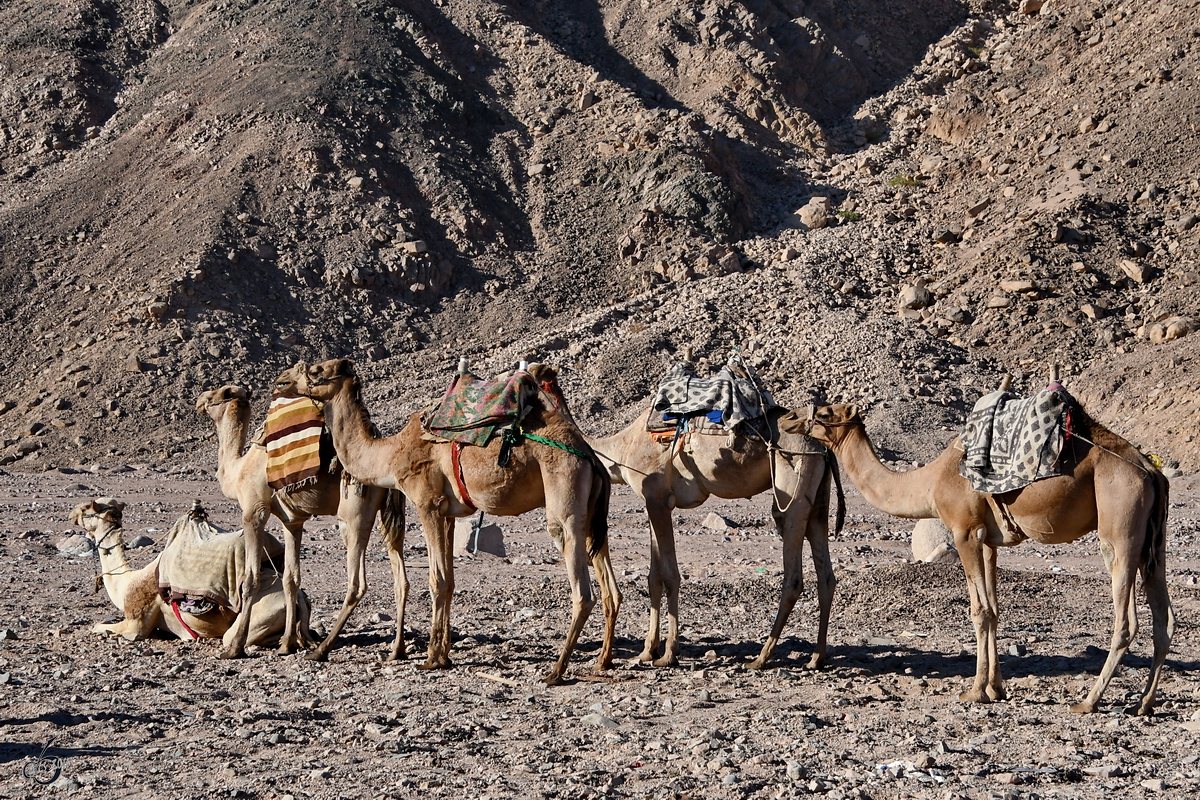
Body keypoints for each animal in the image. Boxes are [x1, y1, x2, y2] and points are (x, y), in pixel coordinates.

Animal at [70, 496, 312, 647]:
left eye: (85, 509)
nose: (71, 514)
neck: (127, 581)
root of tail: (301, 599)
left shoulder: (135, 623)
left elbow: (98, 627)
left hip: (260, 614)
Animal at [192, 383, 408, 662]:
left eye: (219, 393)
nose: (199, 400)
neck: (238, 470)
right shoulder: (292, 521)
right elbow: (291, 578)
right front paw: (287, 644)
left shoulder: (254, 511)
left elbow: (250, 579)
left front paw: (235, 648)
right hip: (388, 512)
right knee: (400, 579)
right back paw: (396, 650)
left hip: (353, 513)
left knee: (357, 583)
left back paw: (321, 649)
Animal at [278, 359, 619, 686]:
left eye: (316, 370)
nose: (281, 380)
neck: (391, 454)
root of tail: (590, 456)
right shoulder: (449, 514)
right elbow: (450, 581)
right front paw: (443, 655)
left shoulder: (426, 502)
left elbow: (436, 580)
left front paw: (430, 657)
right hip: (590, 513)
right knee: (607, 582)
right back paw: (602, 660)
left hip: (564, 494)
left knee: (581, 588)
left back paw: (556, 671)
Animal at [588, 410, 835, 671]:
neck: (623, 447)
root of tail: (823, 449)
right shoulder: (652, 502)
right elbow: (654, 577)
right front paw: (647, 651)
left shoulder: (658, 497)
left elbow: (670, 576)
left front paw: (668, 654)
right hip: (819, 498)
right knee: (826, 575)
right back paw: (816, 658)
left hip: (793, 485)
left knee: (793, 575)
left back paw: (761, 658)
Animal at [787, 402, 1171, 714]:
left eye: (825, 412)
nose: (790, 418)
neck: (929, 482)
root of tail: (1151, 471)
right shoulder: (988, 540)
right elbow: (995, 610)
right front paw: (996, 688)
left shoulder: (964, 531)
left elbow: (979, 611)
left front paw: (975, 691)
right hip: (1153, 541)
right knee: (1163, 618)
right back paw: (1144, 703)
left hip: (1119, 527)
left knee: (1126, 620)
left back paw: (1089, 701)